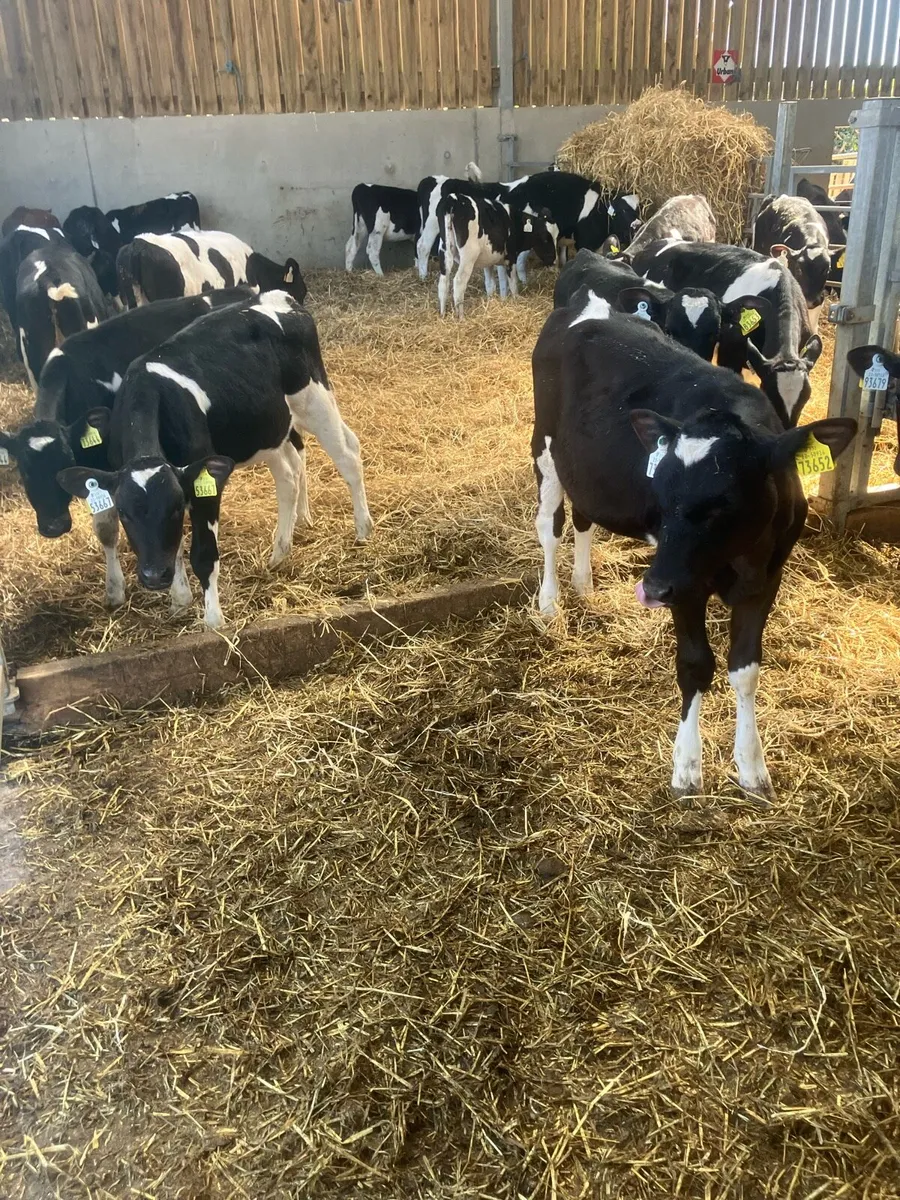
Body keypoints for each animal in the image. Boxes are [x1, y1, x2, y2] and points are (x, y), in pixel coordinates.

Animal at [57, 292, 372, 628]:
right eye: (125, 513)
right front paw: (179, 599)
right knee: (288, 477)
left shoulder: (202, 485)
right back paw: (279, 552)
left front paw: (212, 620)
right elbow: (175, 547)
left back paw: (363, 529)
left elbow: (203, 555)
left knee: (348, 454)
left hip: (314, 399)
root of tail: (277, 296)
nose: (154, 577)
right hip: (269, 427)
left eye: (172, 509)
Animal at [531, 304, 856, 798]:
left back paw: (584, 585)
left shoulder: (767, 579)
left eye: (724, 502)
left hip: (585, 468)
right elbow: (695, 664)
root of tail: (584, 308)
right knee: (550, 527)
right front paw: (686, 766)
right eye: (661, 494)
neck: (741, 558)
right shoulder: (684, 585)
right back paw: (550, 602)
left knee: (584, 518)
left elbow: (745, 669)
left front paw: (752, 767)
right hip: (544, 447)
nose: (651, 588)